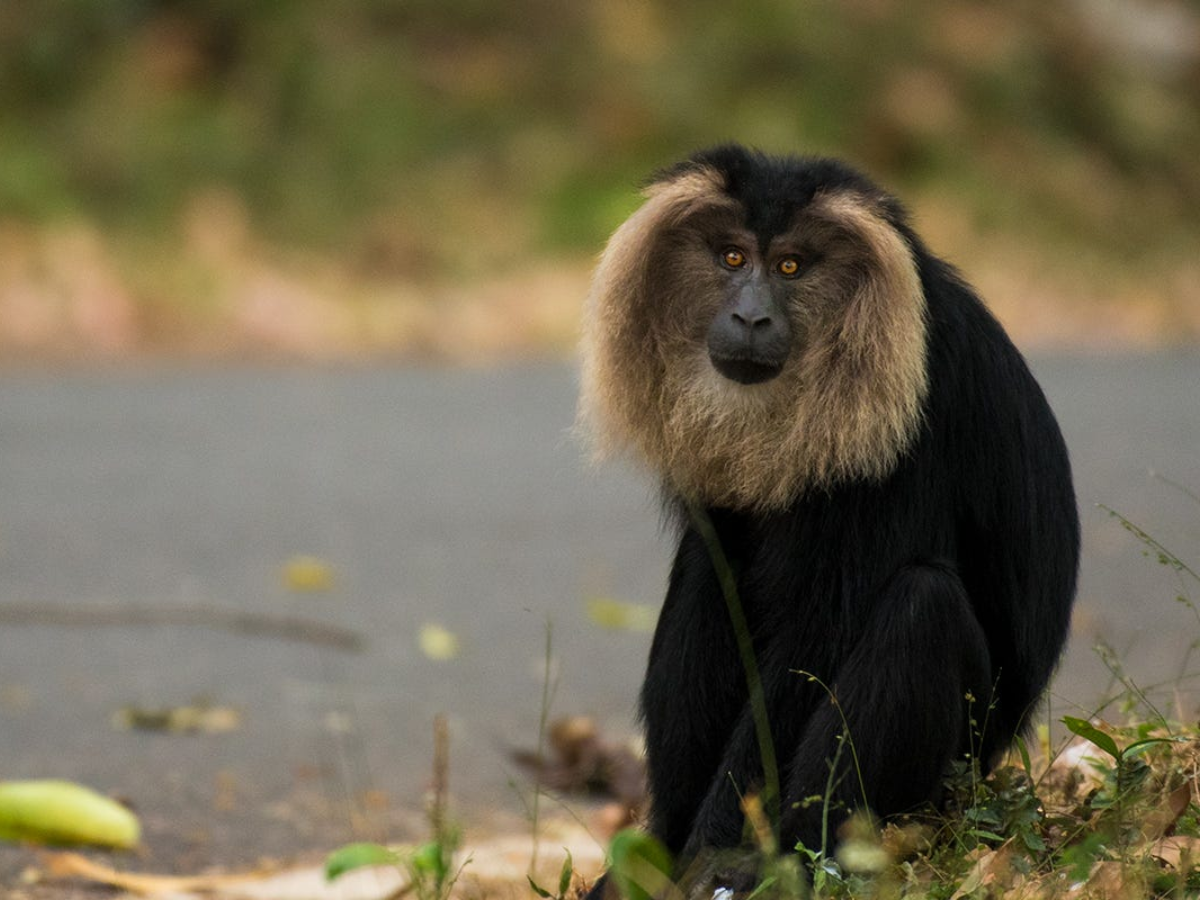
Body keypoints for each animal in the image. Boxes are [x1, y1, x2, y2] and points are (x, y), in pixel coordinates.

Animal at [578, 145, 1079, 897]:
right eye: (732, 257)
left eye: (790, 266)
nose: (750, 317)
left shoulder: (908, 404)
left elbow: (819, 632)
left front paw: (721, 853)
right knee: (707, 572)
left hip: (957, 769)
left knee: (921, 606)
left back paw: (783, 857)